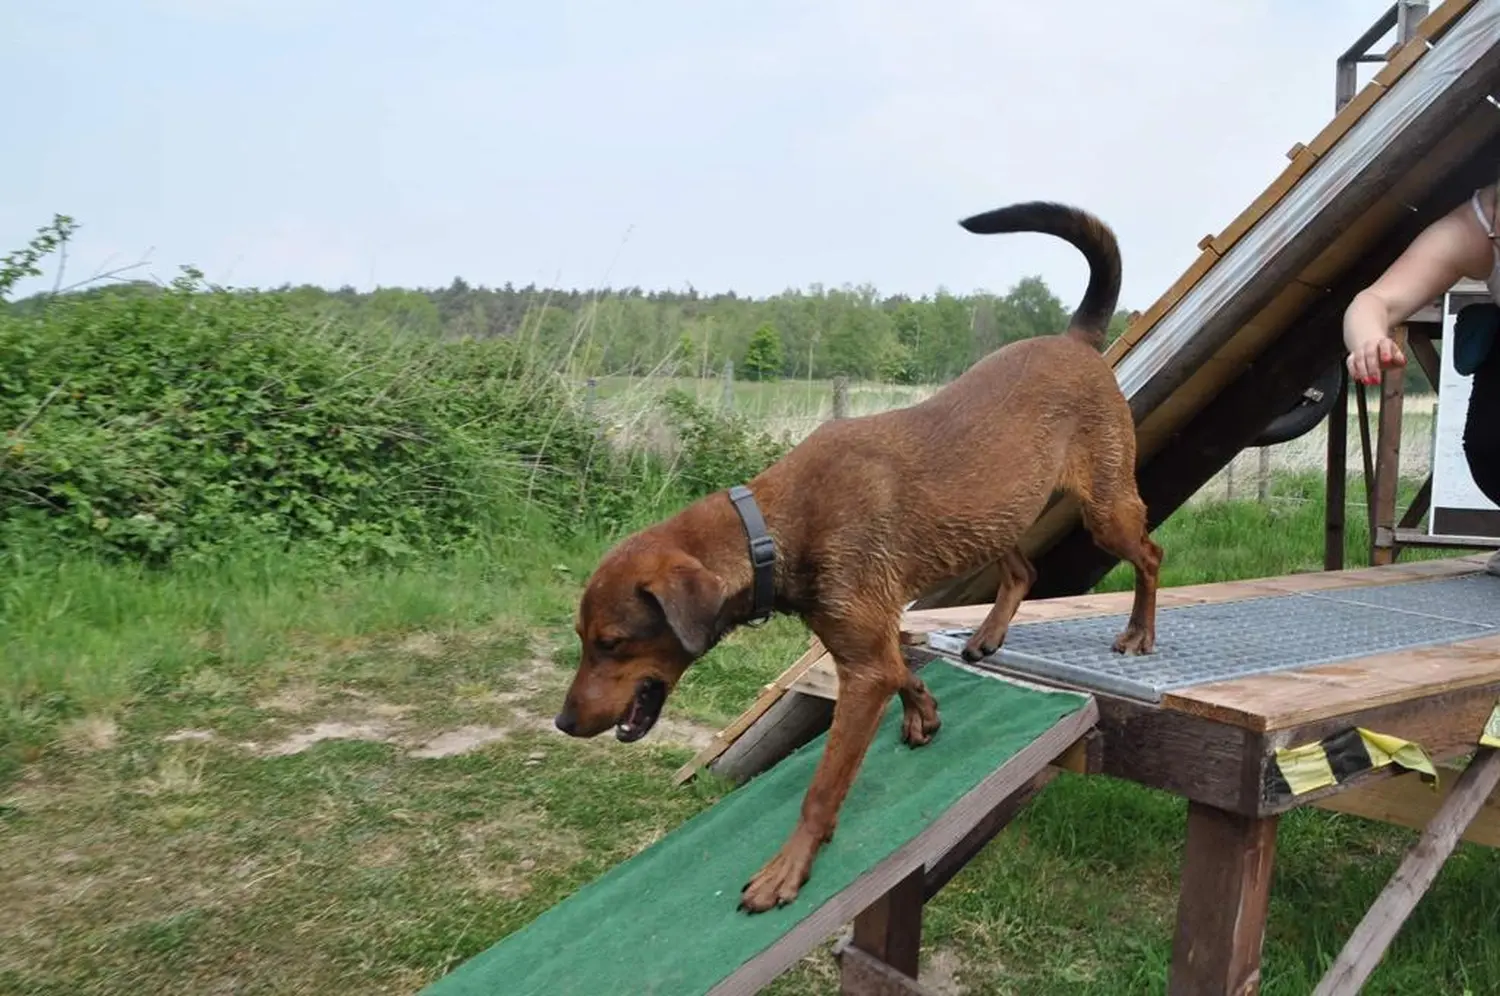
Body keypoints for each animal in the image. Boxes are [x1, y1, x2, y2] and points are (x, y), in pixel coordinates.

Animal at [558, 201, 1164, 912]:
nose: (564, 722)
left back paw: (1139, 631)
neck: (774, 526)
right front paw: (924, 711)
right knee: (1024, 570)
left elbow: (823, 785)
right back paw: (987, 635)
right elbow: (903, 667)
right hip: (993, 518)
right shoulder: (865, 644)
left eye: (612, 643)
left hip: (1104, 507)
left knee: (1149, 553)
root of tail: (1074, 340)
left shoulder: (862, 661)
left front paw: (786, 869)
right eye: (584, 640)